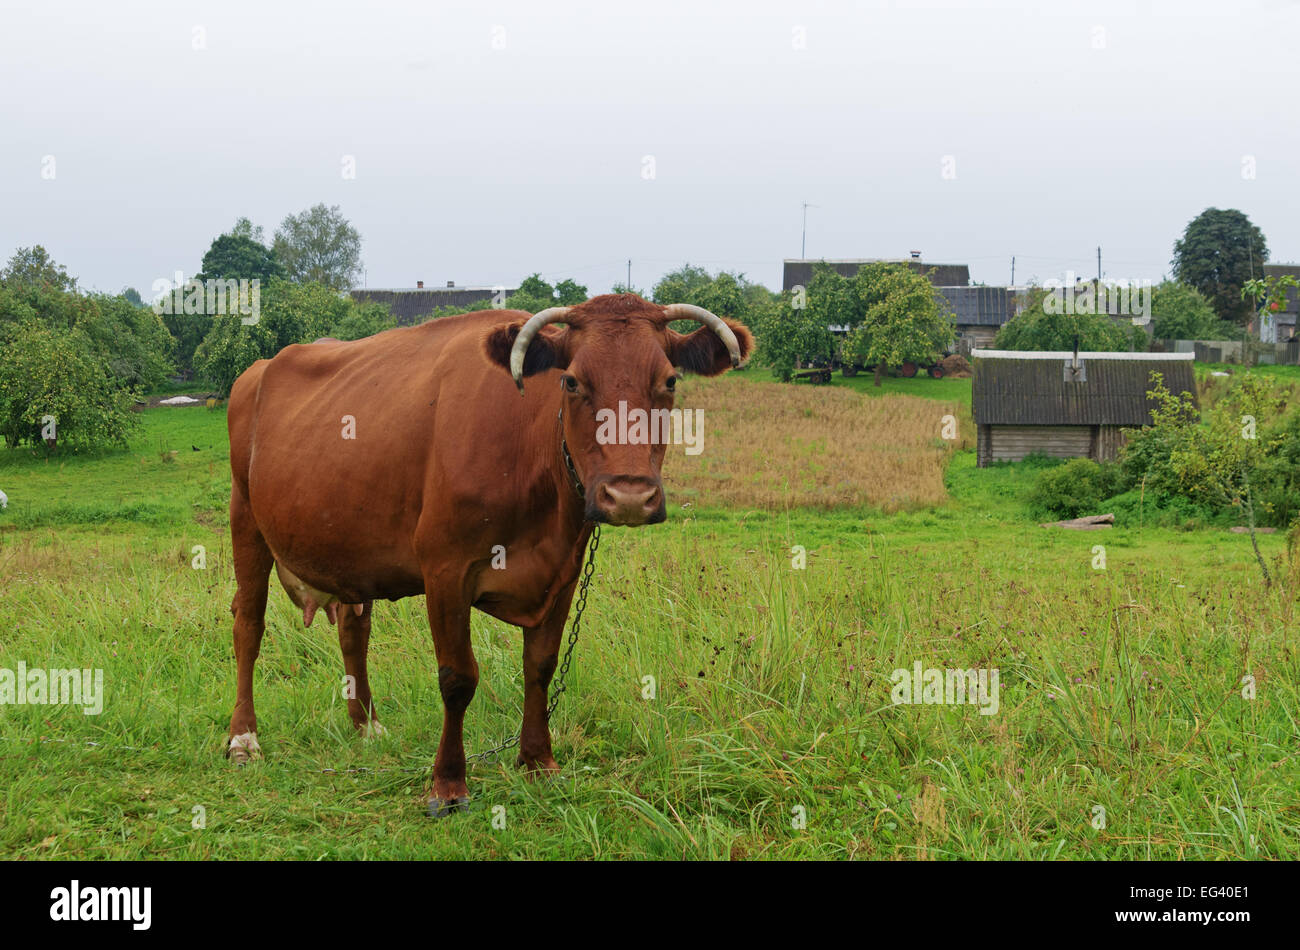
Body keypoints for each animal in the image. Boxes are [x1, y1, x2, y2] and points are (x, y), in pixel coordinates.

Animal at [224, 293, 753, 816]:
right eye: (571, 381)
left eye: (669, 380)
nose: (627, 496)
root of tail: (260, 369)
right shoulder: (445, 569)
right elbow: (458, 678)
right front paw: (447, 784)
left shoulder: (563, 574)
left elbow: (541, 667)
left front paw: (538, 761)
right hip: (245, 517)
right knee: (249, 624)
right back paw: (243, 738)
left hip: (350, 550)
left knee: (355, 632)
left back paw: (367, 725)